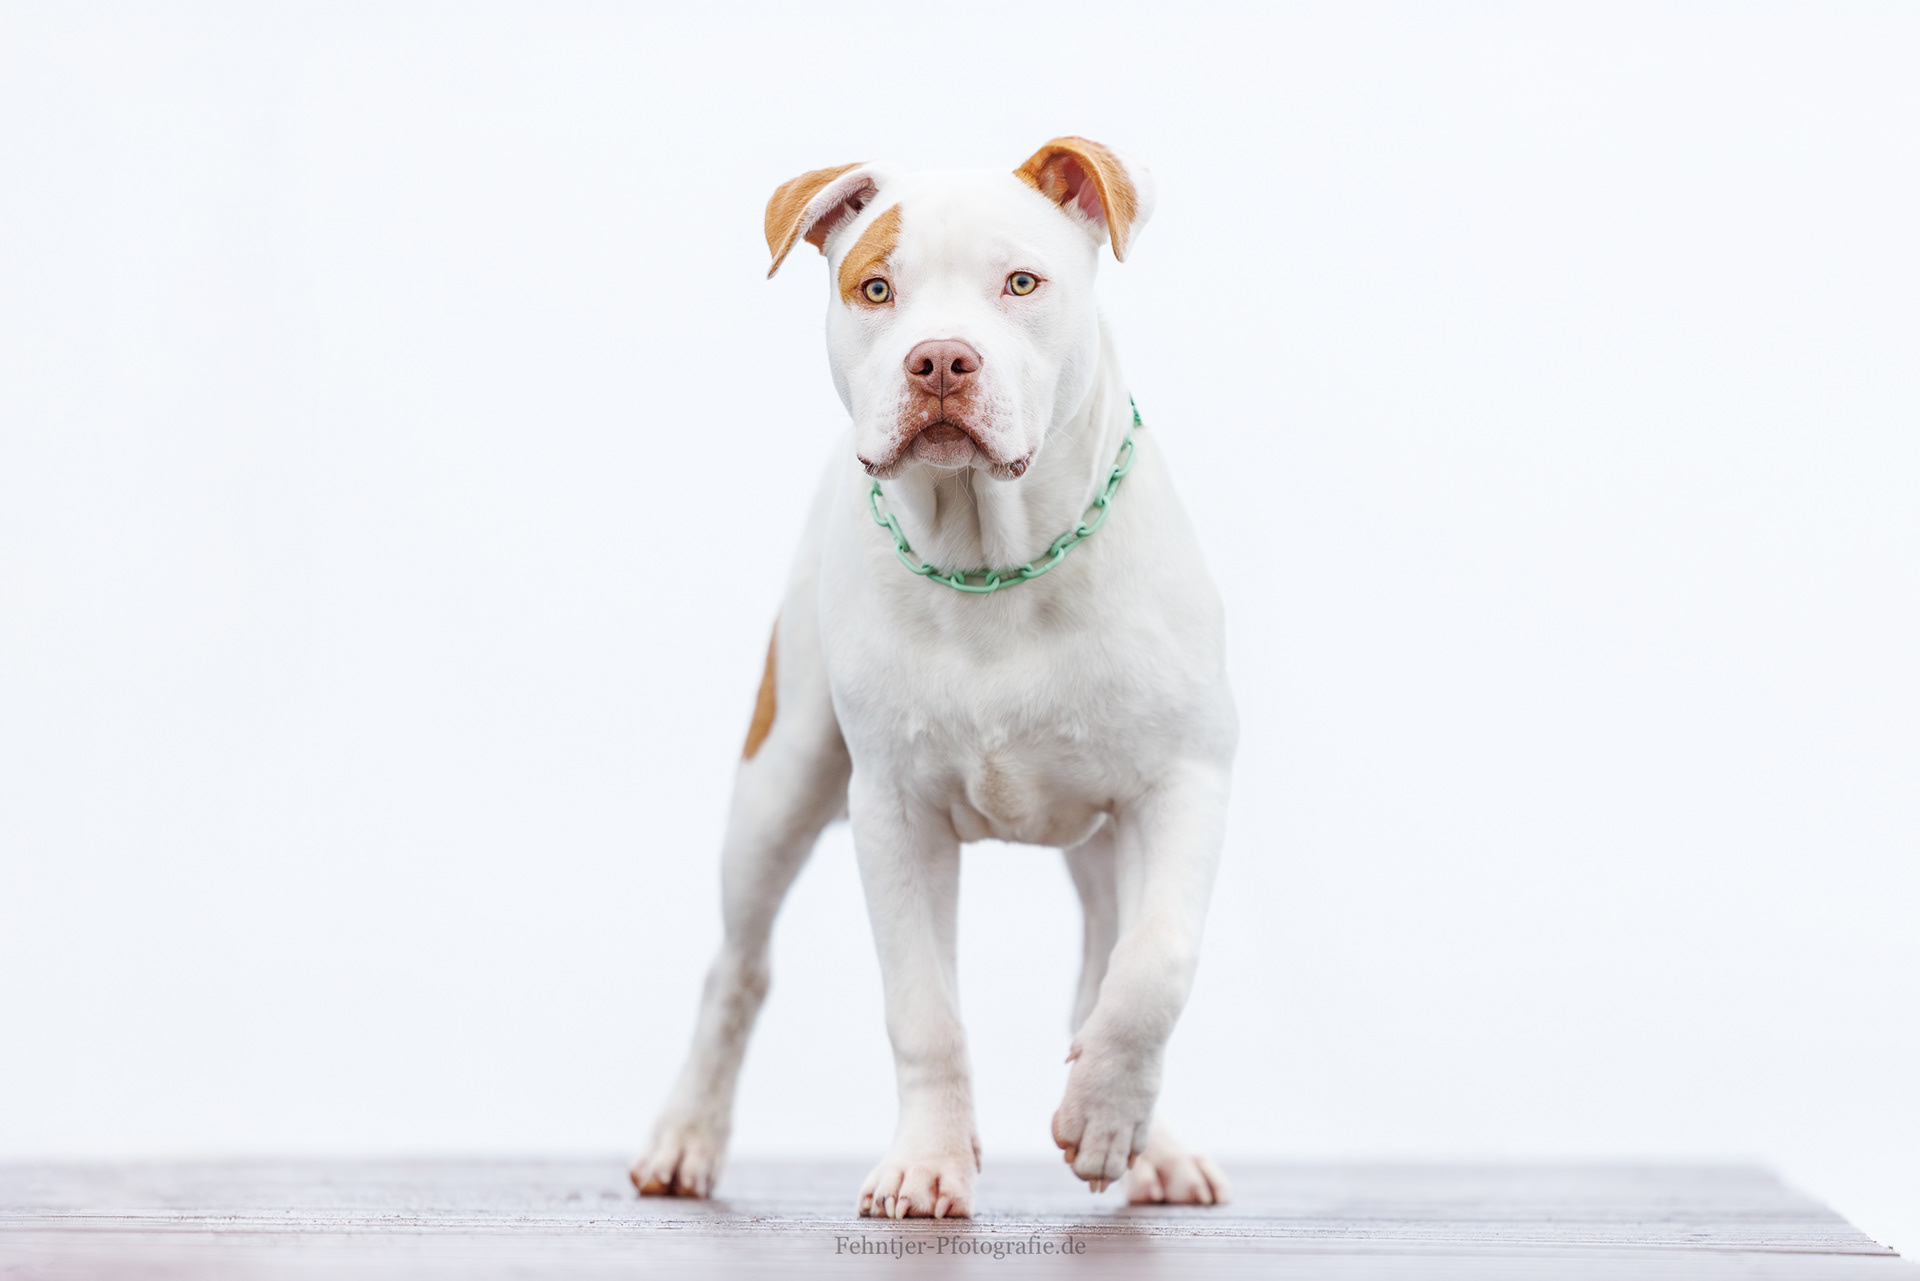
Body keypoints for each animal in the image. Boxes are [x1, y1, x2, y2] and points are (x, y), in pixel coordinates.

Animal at [632, 137, 1236, 1219]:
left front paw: (1107, 1117)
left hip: (1106, 834)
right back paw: (685, 1138)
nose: (942, 359)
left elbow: (1154, 964)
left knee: (1107, 958)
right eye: (877, 288)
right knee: (736, 970)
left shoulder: (1185, 779)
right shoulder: (895, 813)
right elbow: (924, 1011)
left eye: (1021, 283)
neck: (998, 559)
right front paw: (928, 1162)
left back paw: (1146, 1141)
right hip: (778, 782)